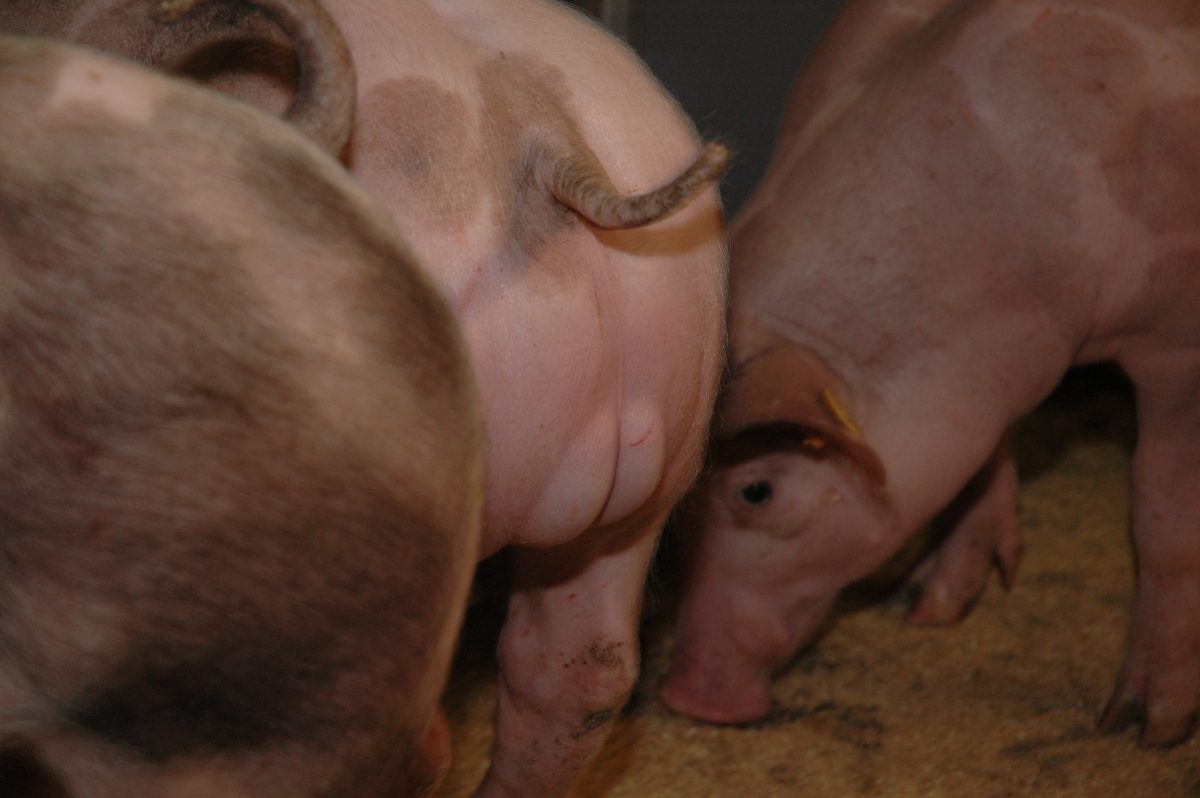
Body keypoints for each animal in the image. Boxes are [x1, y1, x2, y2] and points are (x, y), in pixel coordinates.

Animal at [661, 0, 1200, 751]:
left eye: (756, 492)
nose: (685, 697)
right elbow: (980, 459)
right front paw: (931, 607)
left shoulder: (1178, 338)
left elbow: (1162, 508)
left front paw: (1148, 727)